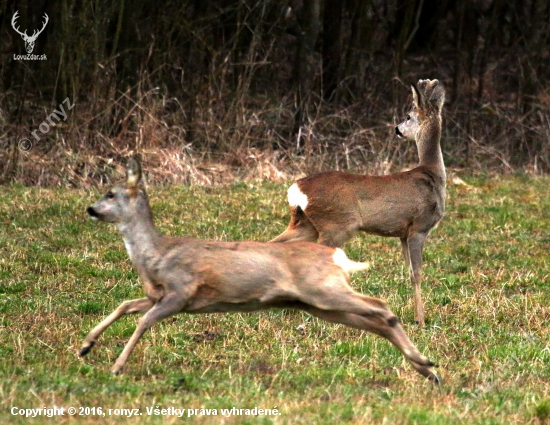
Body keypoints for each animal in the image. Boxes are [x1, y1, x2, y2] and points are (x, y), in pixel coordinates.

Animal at [80, 157, 440, 382]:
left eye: (110, 194)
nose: (91, 209)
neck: (155, 255)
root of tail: (336, 258)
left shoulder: (180, 293)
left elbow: (143, 321)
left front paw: (116, 366)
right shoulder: (159, 295)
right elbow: (126, 305)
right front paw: (86, 346)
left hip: (325, 291)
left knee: (381, 307)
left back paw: (426, 363)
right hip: (318, 302)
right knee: (376, 319)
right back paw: (428, 370)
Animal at [272, 78, 448, 324]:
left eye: (407, 117)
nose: (397, 129)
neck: (432, 174)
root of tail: (297, 189)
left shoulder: (403, 233)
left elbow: (408, 271)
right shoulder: (419, 227)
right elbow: (417, 274)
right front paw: (420, 321)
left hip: (305, 223)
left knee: (274, 244)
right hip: (337, 224)